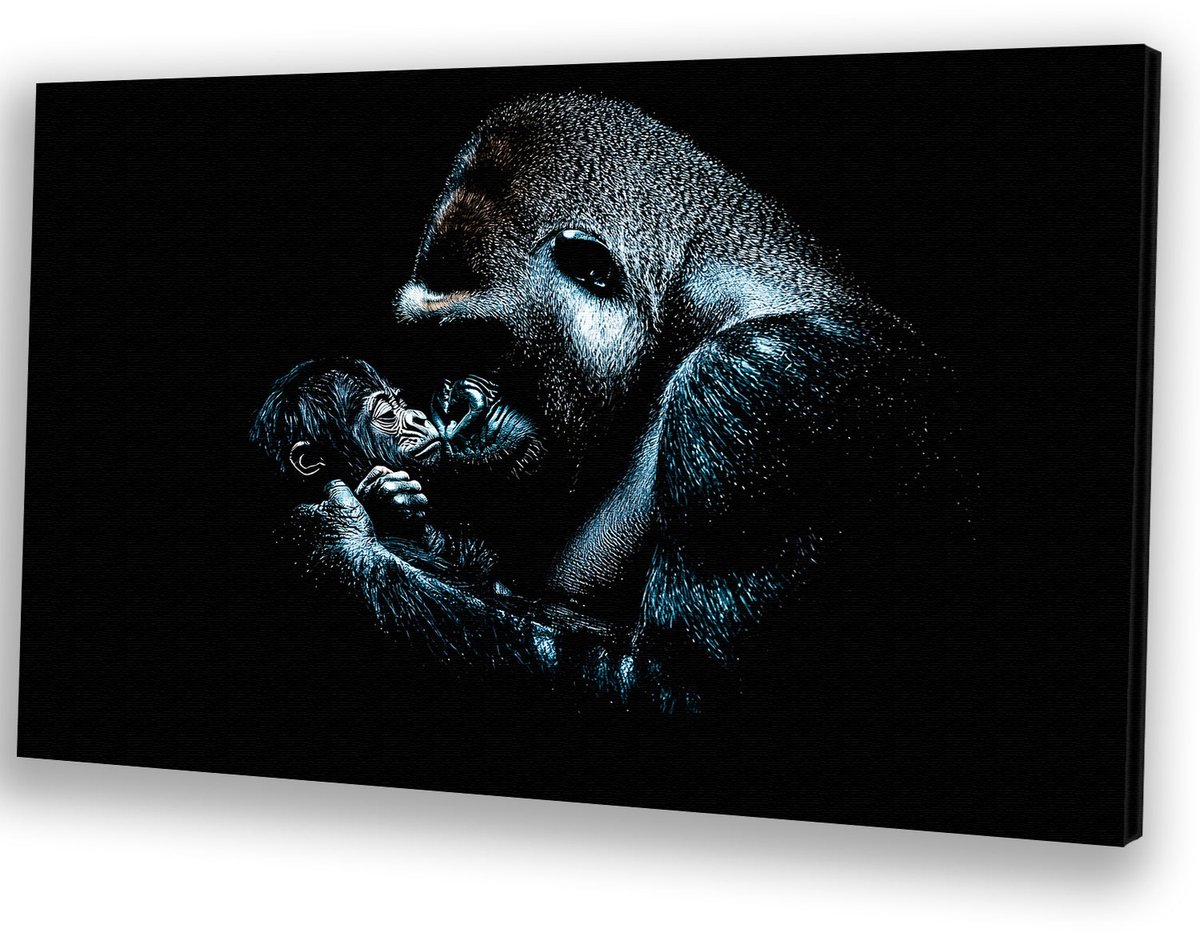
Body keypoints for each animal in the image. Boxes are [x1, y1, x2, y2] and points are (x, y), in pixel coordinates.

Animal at [287, 93, 944, 709]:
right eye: (433, 348)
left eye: (480, 340)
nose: (447, 408)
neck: (678, 308)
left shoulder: (757, 383)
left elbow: (671, 683)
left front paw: (342, 552)